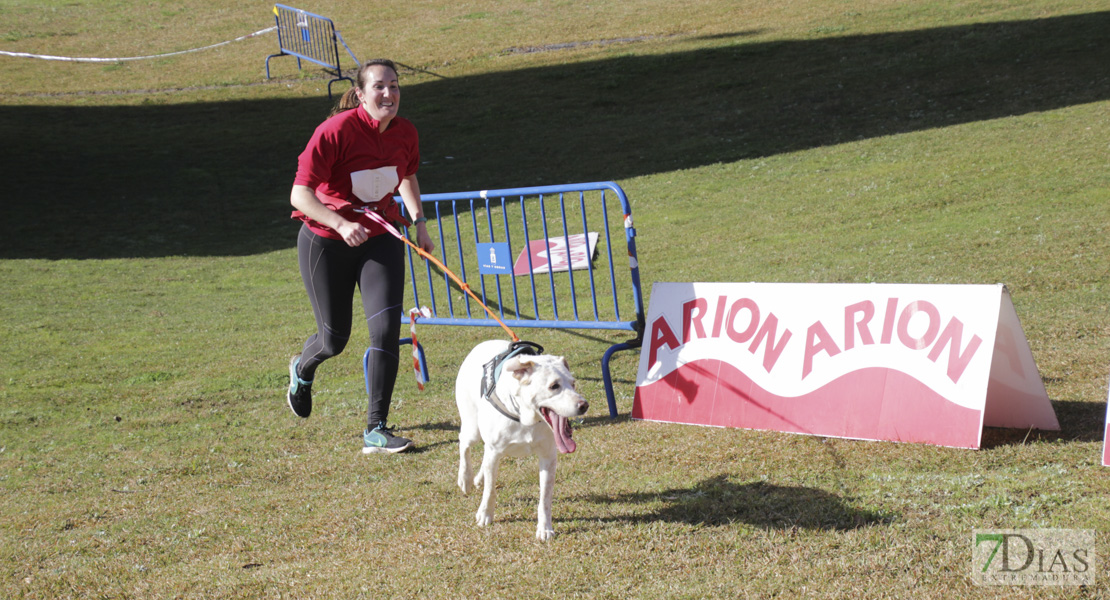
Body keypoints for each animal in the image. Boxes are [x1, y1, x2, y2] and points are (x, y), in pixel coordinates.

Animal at [452, 339, 590, 541]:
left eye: (573, 384)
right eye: (554, 386)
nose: (584, 405)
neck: (524, 416)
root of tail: (483, 343)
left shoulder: (548, 457)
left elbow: (545, 498)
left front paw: (544, 528)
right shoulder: (494, 450)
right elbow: (490, 489)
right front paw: (485, 514)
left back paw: (477, 478)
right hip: (473, 427)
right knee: (464, 443)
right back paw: (466, 479)